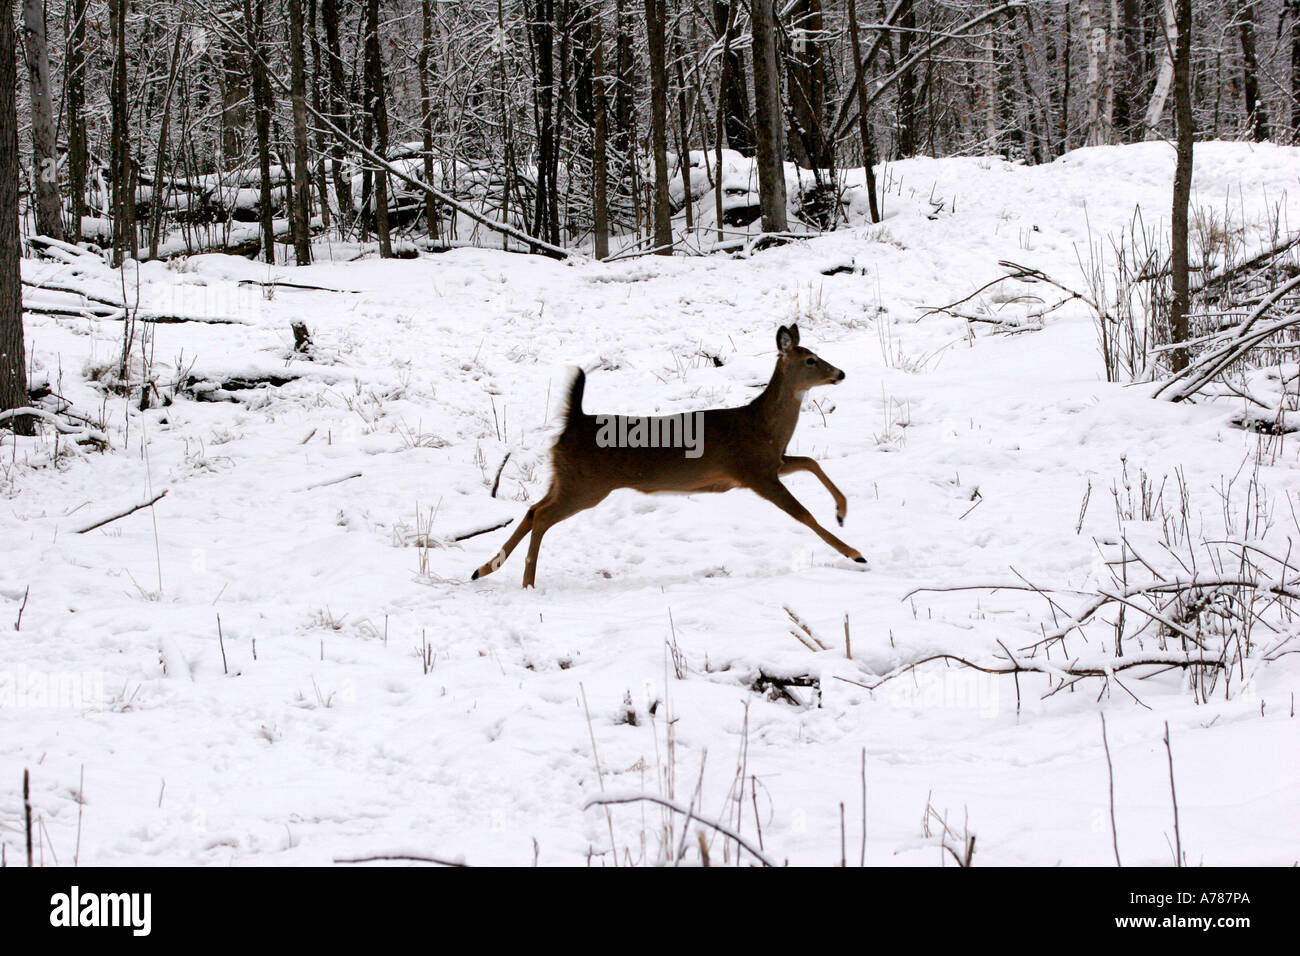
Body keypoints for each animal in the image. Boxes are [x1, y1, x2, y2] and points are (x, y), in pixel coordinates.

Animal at [470, 325, 863, 587]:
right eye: (811, 359)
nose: (841, 373)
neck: (761, 427)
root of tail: (574, 422)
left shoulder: (772, 463)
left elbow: (812, 462)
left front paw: (843, 512)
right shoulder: (753, 470)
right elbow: (804, 513)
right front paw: (854, 552)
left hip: (564, 477)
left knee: (532, 509)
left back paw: (484, 568)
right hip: (587, 485)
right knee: (542, 516)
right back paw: (526, 582)